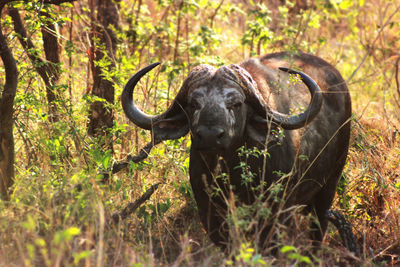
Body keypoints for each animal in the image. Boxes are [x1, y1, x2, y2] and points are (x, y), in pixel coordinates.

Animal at [121, 51, 350, 251]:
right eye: (194, 104)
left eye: (236, 103)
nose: (210, 135)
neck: (232, 172)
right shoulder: (209, 211)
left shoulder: (277, 212)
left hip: (328, 188)